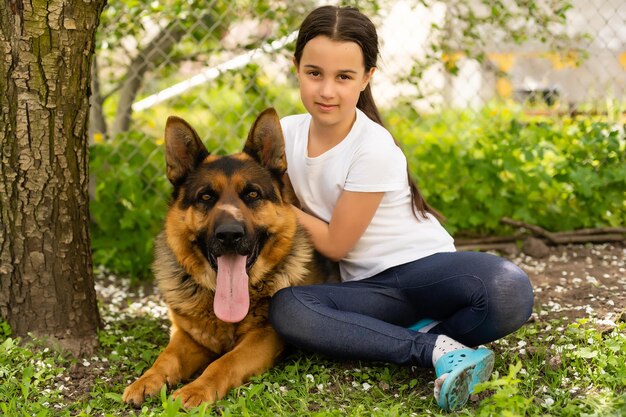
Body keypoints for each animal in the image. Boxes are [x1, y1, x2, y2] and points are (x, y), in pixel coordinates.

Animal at [123, 107, 334, 406]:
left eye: (252, 194)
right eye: (206, 197)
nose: (229, 235)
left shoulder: (263, 338)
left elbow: (224, 362)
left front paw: (197, 389)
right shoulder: (188, 336)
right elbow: (166, 358)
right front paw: (146, 380)